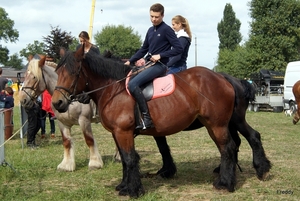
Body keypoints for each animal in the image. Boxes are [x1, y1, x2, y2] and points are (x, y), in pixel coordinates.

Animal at [52, 46, 237, 197]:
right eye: (57, 72)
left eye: (74, 72)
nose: (57, 103)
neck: (113, 89)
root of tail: (222, 77)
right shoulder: (116, 133)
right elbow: (124, 160)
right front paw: (124, 186)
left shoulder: (123, 132)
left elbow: (129, 159)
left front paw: (134, 190)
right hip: (211, 126)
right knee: (226, 149)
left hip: (217, 125)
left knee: (227, 149)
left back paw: (225, 183)